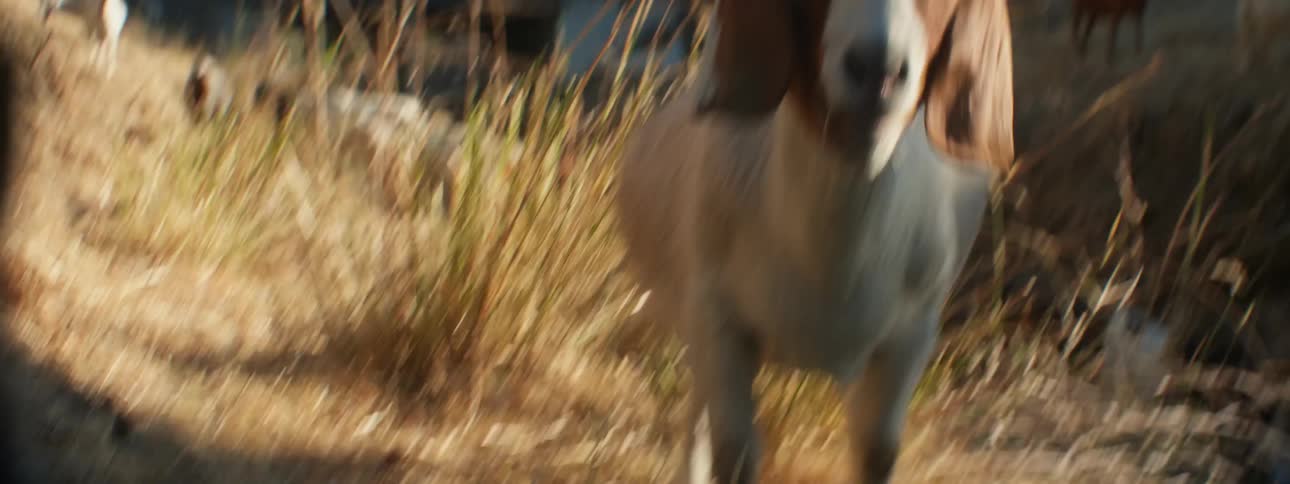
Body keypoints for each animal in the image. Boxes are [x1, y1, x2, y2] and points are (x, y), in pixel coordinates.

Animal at [615, 0, 1014, 482]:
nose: (878, 69)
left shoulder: (910, 336)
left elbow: (878, 451)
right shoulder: (717, 320)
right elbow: (734, 450)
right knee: (699, 424)